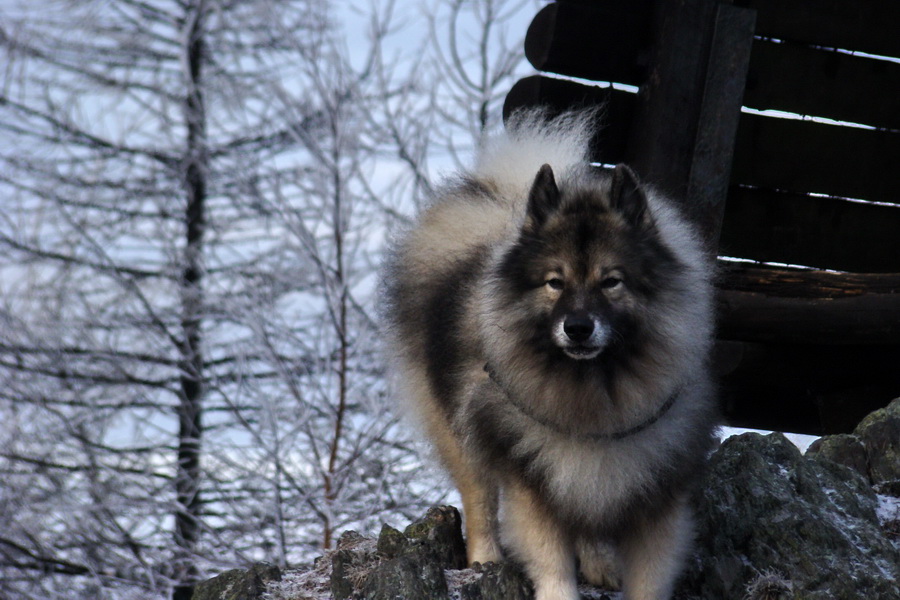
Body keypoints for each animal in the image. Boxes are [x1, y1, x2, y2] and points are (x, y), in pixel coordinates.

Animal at [380, 110, 716, 596]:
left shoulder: (653, 491)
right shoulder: (531, 478)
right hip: (460, 427)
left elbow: (646, 576)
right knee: (479, 497)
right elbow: (552, 559)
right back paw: (486, 558)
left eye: (611, 281)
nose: (577, 328)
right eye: (555, 282)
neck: (593, 390)